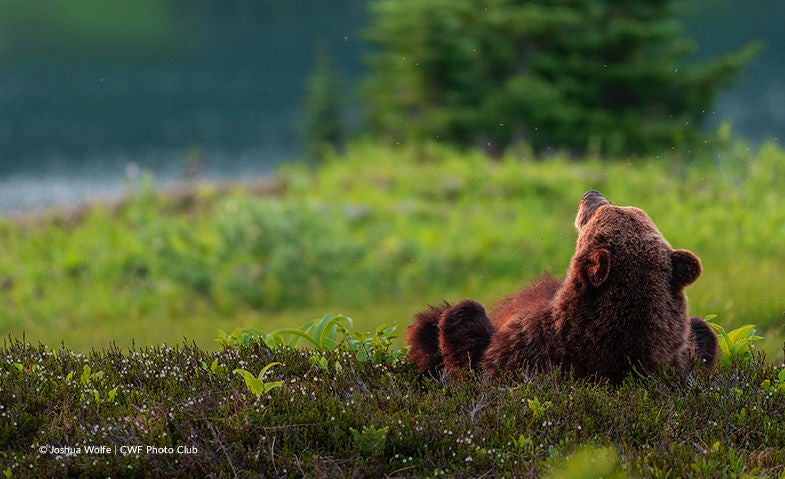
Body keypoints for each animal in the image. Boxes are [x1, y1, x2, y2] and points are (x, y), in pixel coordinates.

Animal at [407, 190, 719, 383]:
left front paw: (451, 318)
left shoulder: (530, 351)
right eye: (627, 206)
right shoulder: (686, 355)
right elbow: (703, 336)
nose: (590, 193)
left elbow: (475, 354)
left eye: (603, 209)